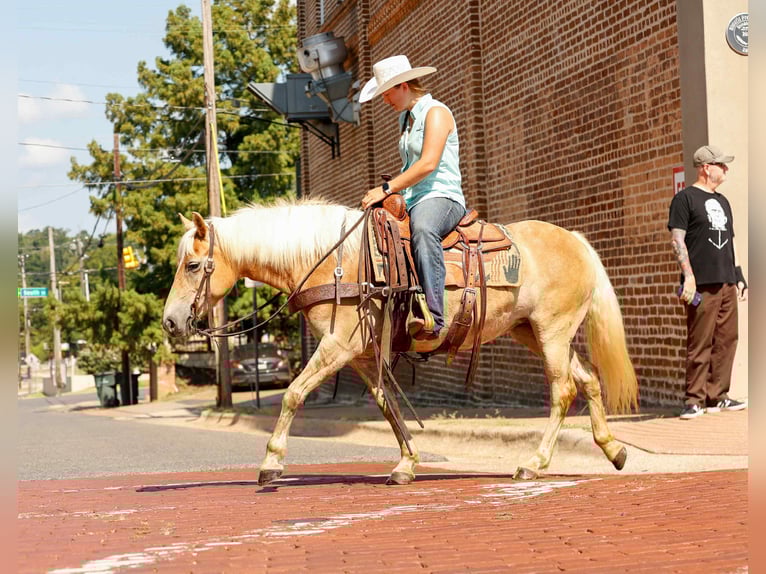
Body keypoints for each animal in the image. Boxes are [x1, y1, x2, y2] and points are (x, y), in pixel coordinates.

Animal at [162, 198, 638, 485]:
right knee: (588, 380)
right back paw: (613, 449)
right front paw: (406, 464)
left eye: (192, 265)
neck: (334, 262)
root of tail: (576, 240)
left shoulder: (338, 345)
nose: (169, 322)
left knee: (563, 390)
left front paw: (270, 463)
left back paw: (533, 464)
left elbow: (293, 394)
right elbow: (385, 403)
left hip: (552, 332)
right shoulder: (361, 355)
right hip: (535, 333)